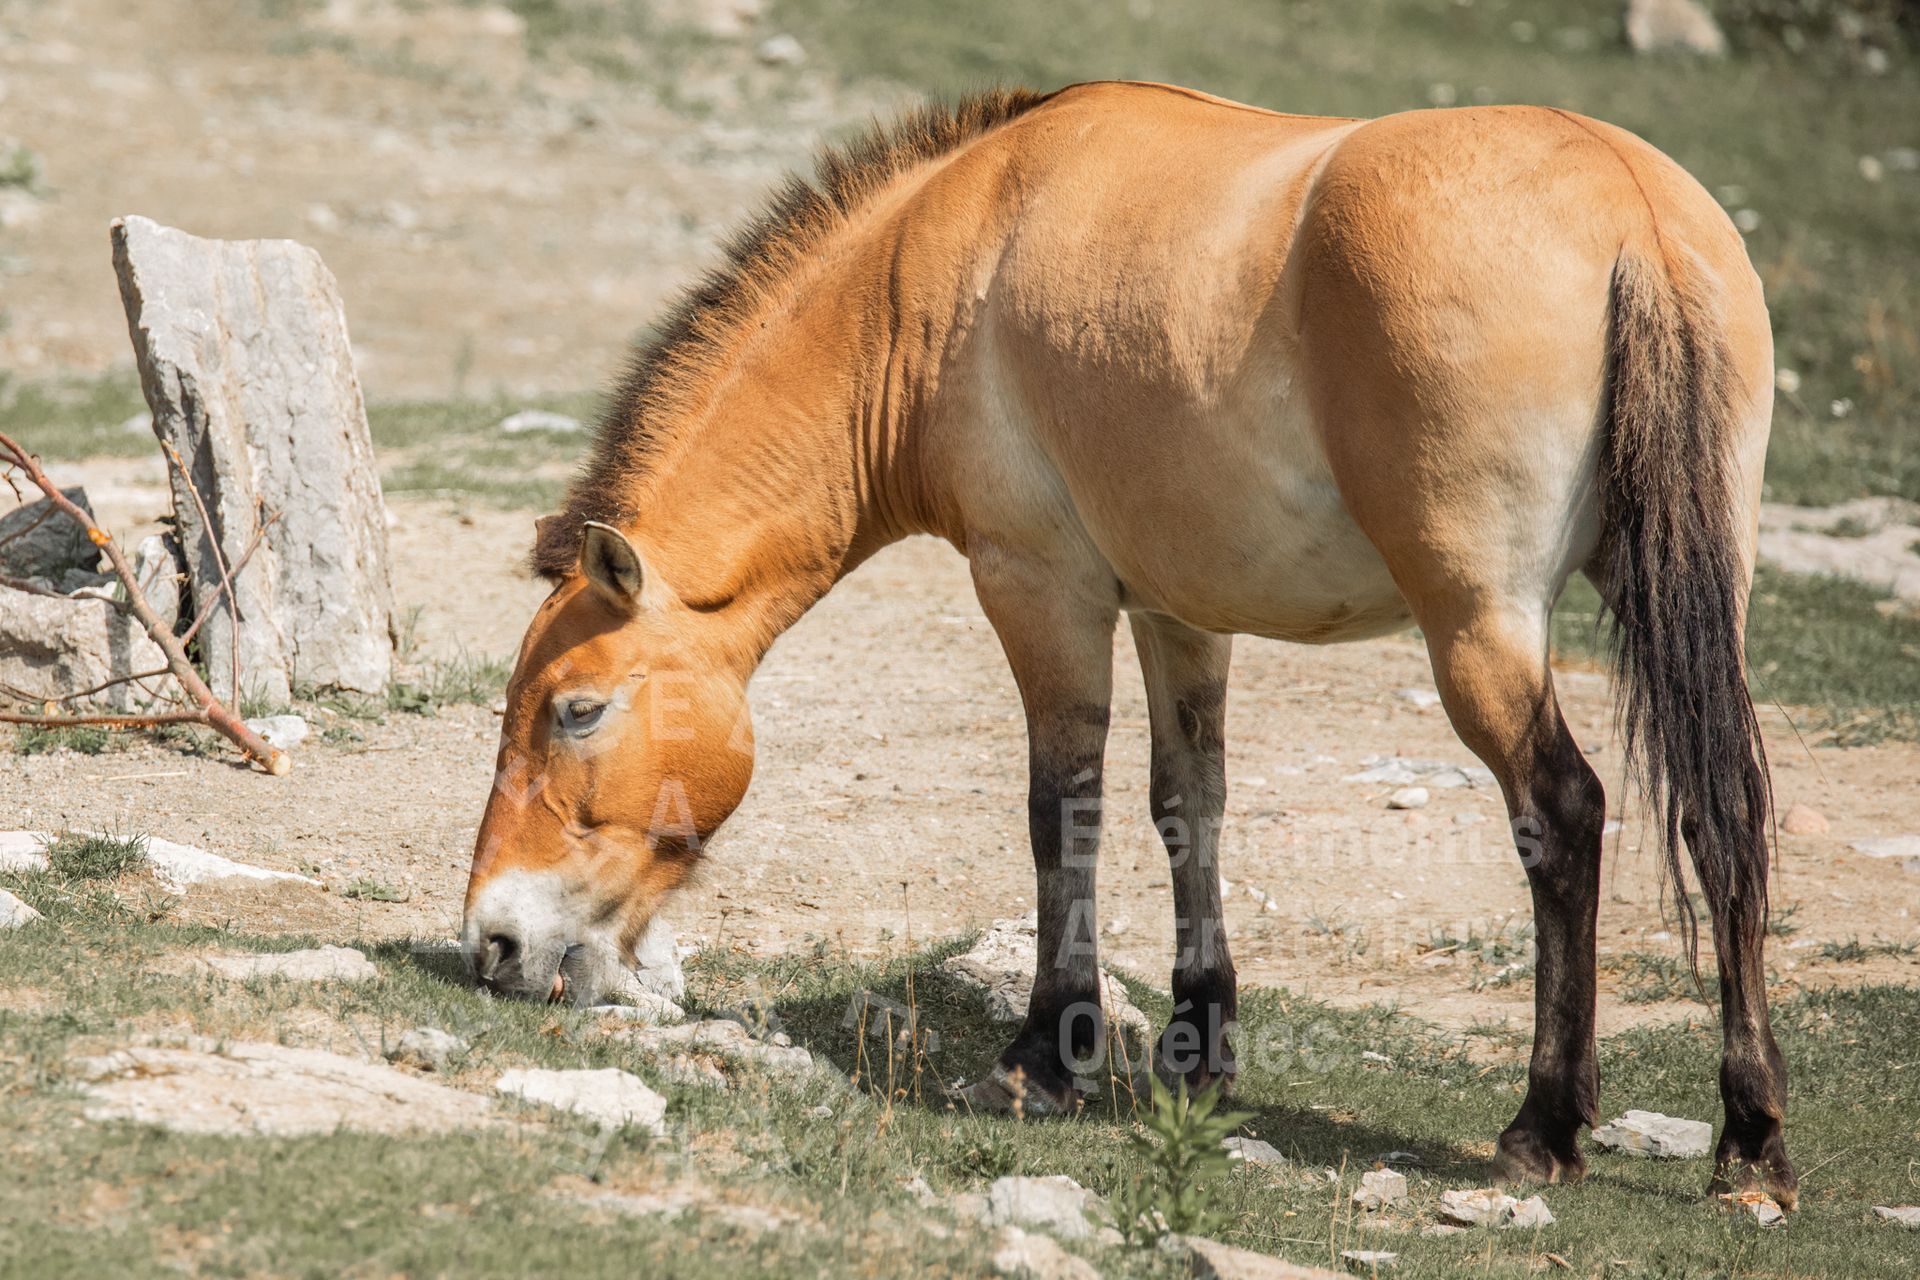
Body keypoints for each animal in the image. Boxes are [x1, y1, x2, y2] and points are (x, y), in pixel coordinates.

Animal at [462, 81, 1792, 1206]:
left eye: (576, 707)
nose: (492, 941)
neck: (942, 270)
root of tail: (1627, 206)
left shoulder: (1040, 588)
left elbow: (1065, 808)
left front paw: (1044, 1054)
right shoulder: (1176, 610)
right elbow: (1186, 805)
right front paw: (1199, 1048)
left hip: (1479, 624)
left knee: (1564, 812)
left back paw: (1544, 1127)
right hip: (1691, 603)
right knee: (1722, 812)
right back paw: (1750, 1140)